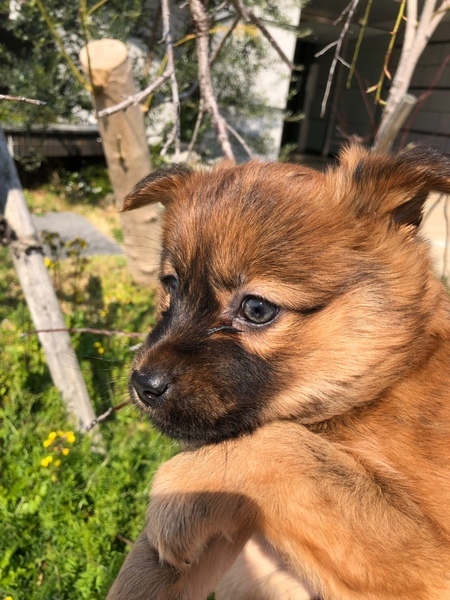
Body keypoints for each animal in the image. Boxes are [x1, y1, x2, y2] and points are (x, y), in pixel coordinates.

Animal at [107, 146, 450, 600]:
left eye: (257, 309)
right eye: (172, 285)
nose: (143, 385)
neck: (382, 387)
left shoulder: (431, 561)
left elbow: (283, 445)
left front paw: (177, 488)